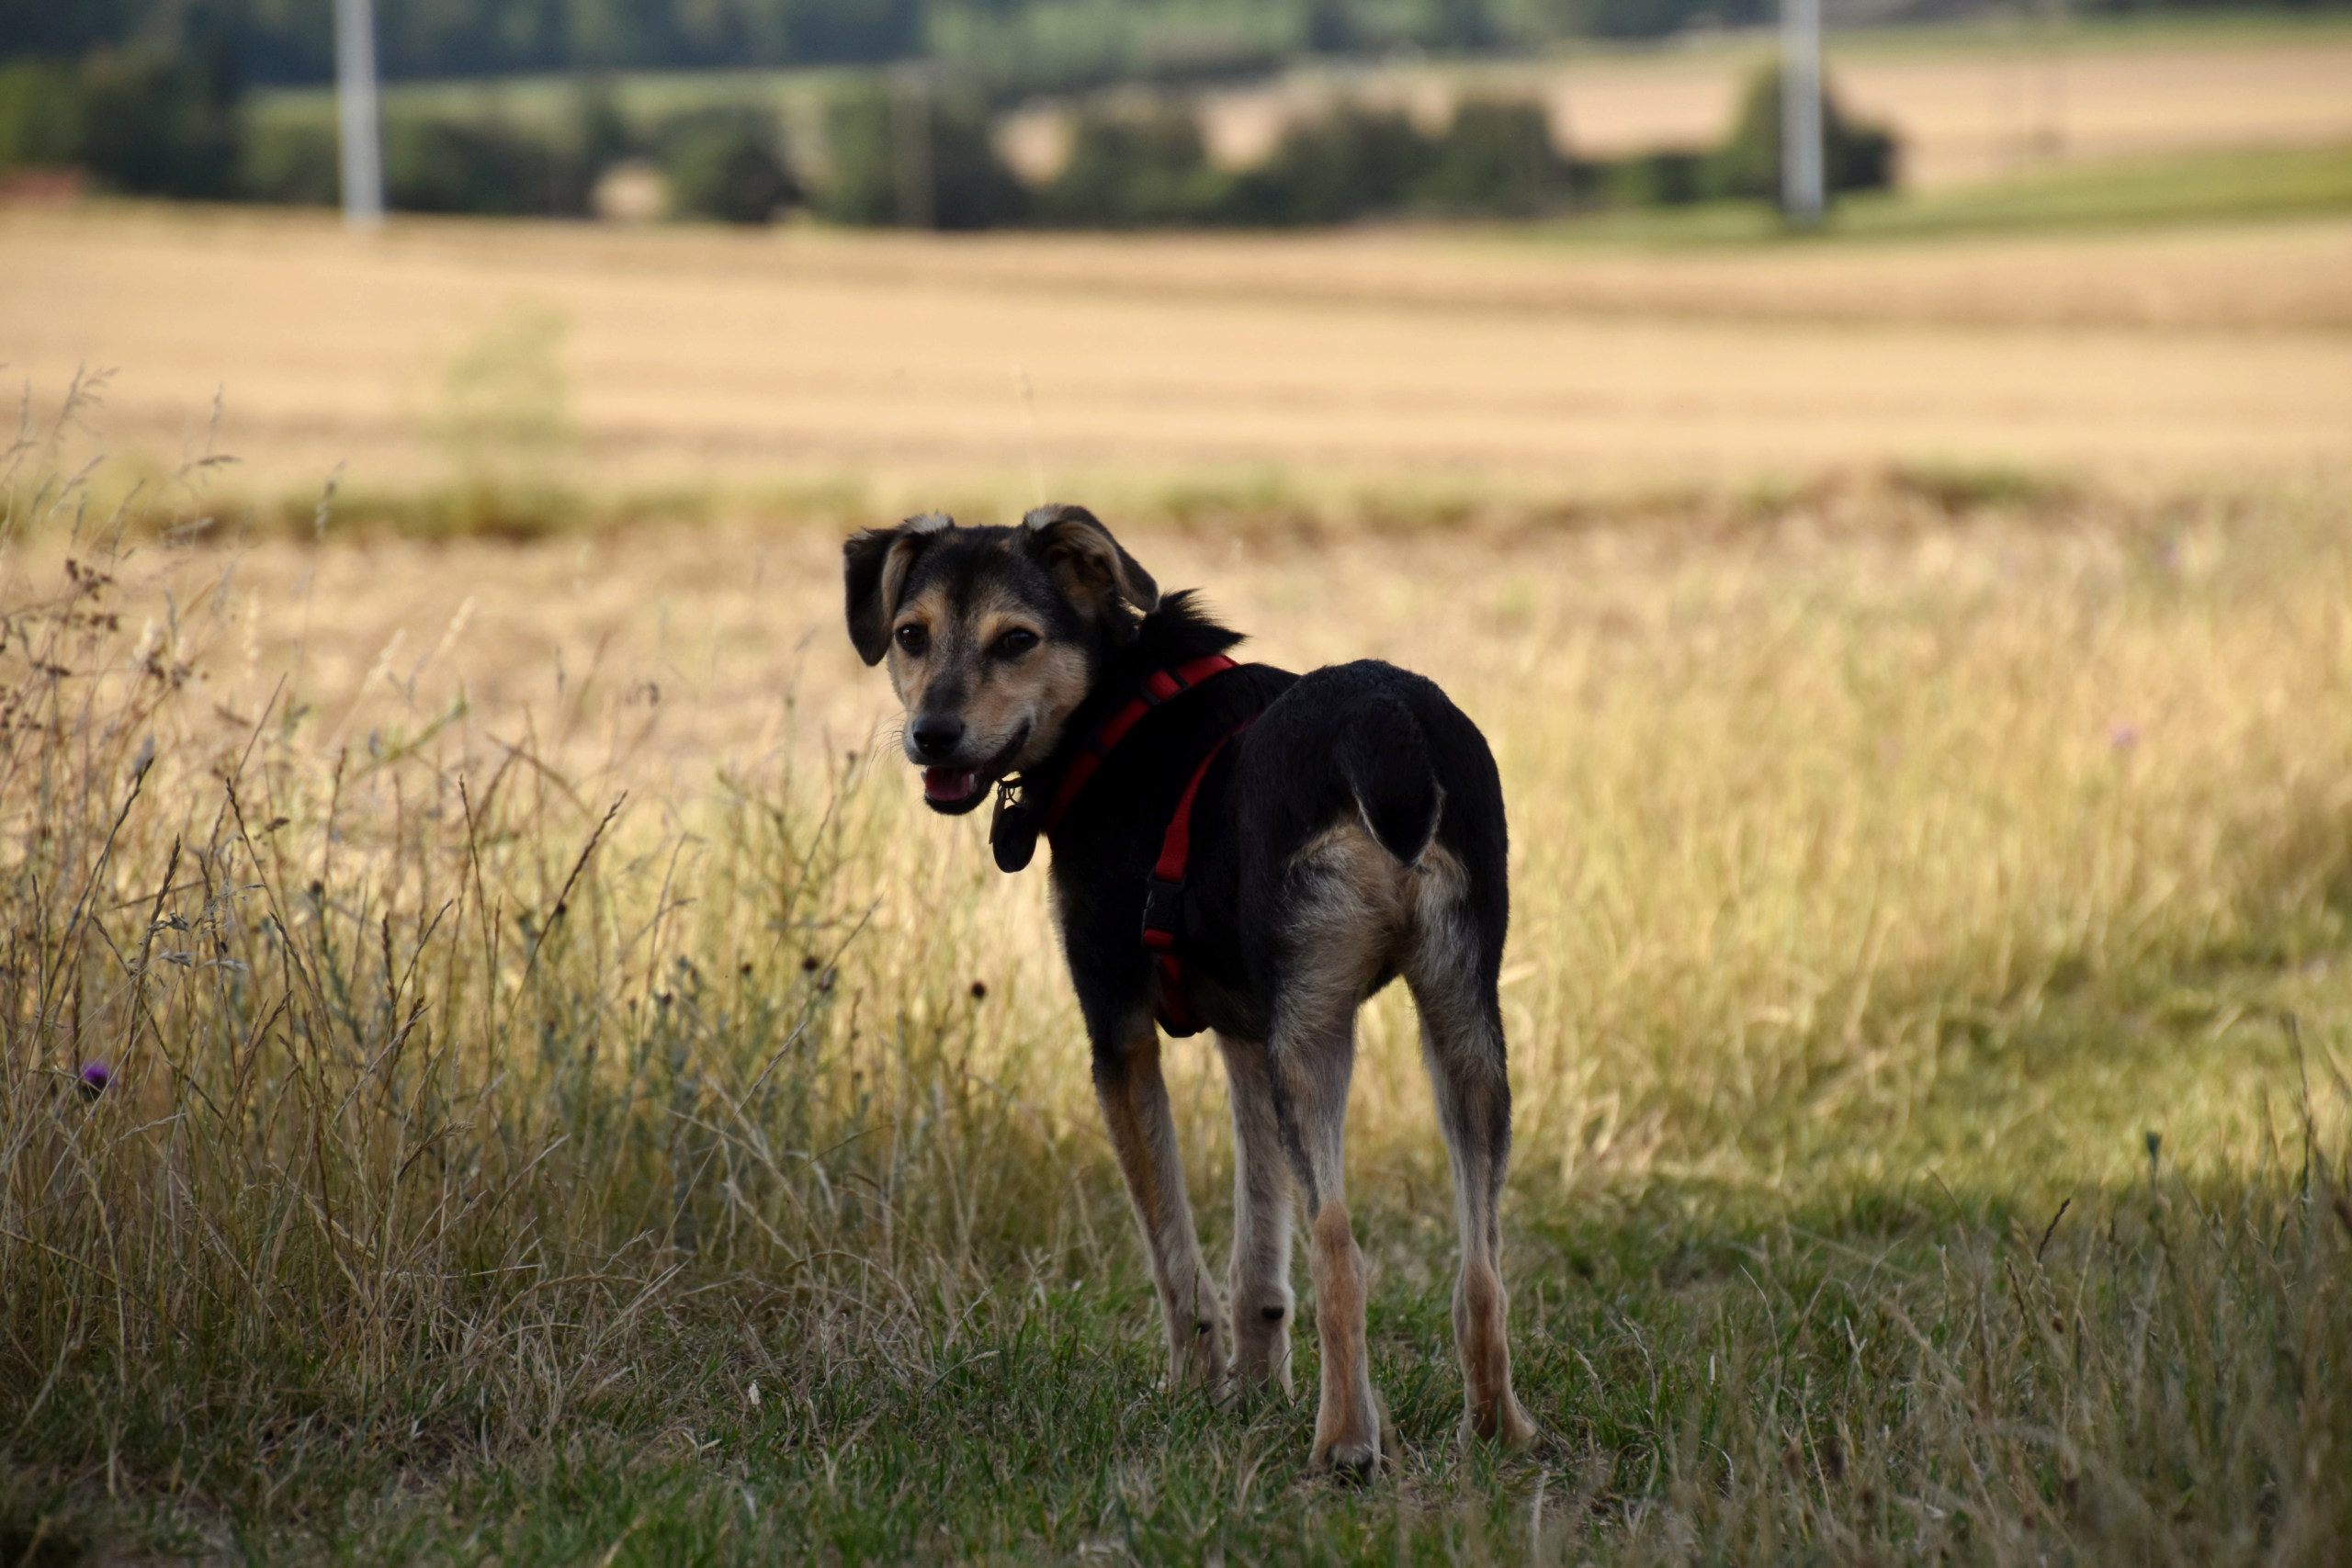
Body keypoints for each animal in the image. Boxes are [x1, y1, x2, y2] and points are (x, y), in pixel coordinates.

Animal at [837, 510, 1533, 1476]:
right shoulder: (1249, 1037)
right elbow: (1259, 1256)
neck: (1119, 711)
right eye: (911, 635)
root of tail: (1383, 722)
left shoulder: (1119, 1038)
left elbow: (1174, 1253)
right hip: (1461, 1022)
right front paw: (1256, 1388)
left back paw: (1345, 1442)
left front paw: (1194, 1392)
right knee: (1480, 1266)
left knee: (1341, 1246)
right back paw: (1498, 1431)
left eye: (1017, 640)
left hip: (1317, 1031)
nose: (933, 735)